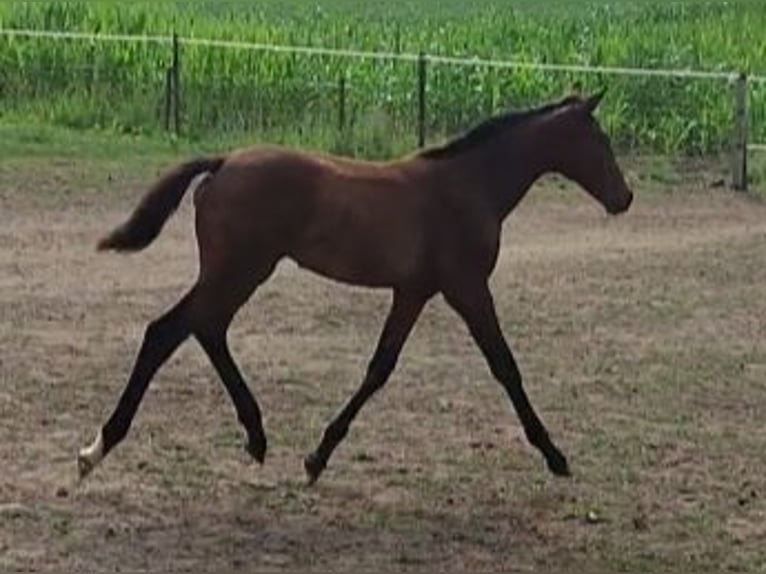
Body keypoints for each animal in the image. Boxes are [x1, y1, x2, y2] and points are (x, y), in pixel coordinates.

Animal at [78, 91, 632, 486]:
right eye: (600, 141)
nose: (624, 197)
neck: (468, 185)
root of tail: (222, 163)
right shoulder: (468, 287)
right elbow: (505, 366)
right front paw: (555, 455)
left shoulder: (414, 291)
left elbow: (379, 368)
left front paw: (317, 457)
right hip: (239, 269)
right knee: (168, 331)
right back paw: (97, 448)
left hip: (238, 273)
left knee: (204, 329)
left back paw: (256, 437)